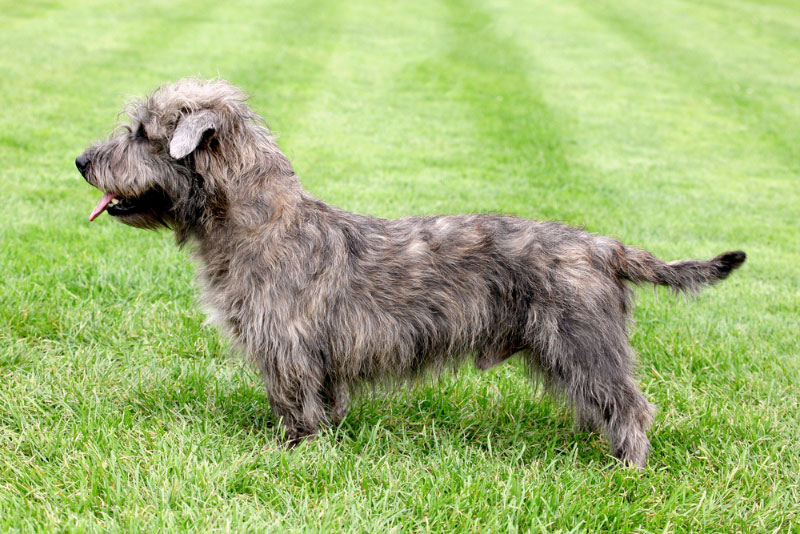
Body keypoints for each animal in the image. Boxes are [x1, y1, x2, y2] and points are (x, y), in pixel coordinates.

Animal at [78, 79, 748, 468]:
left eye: (142, 133)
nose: (82, 160)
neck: (257, 223)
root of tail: (603, 245)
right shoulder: (314, 355)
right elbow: (323, 401)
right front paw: (322, 442)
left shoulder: (287, 347)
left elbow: (295, 403)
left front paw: (294, 455)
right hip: (567, 351)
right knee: (601, 401)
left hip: (581, 342)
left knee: (631, 405)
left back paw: (626, 468)